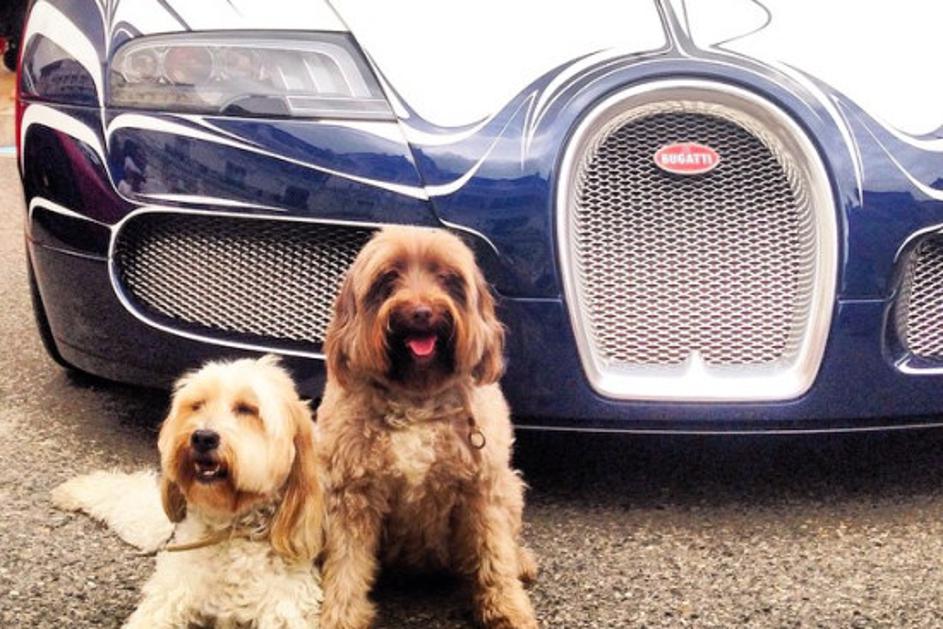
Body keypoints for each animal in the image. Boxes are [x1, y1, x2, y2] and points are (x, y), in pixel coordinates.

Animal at [123, 355, 321, 628]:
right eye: (197, 405)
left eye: (247, 409)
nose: (203, 437)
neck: (227, 529)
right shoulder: (171, 592)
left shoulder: (284, 610)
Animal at [316, 226, 537, 629]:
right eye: (388, 278)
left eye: (447, 278)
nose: (421, 312)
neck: (415, 396)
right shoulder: (351, 495)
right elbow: (346, 564)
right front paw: (340, 616)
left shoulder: (482, 491)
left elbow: (493, 554)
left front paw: (507, 609)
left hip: (511, 487)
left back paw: (521, 561)